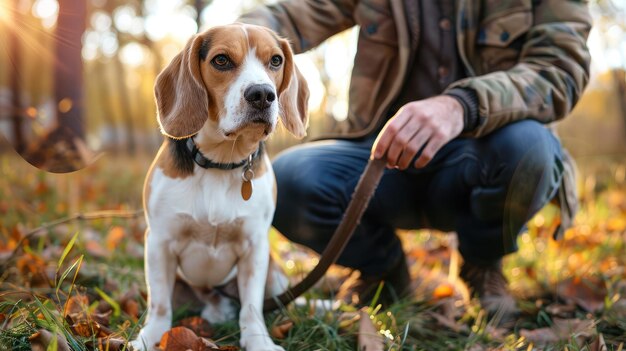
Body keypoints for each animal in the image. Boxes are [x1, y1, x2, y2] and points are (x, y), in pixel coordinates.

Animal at [130, 22, 308, 351]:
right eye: (221, 60)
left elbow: (251, 307)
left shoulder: (255, 246)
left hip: (275, 272)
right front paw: (150, 337)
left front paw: (258, 340)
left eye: (276, 60)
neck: (221, 162)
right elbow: (159, 304)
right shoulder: (158, 241)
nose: (262, 94)